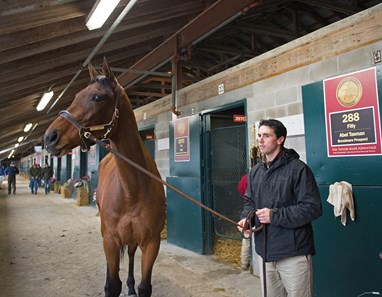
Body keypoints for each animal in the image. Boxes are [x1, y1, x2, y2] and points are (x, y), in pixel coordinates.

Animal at [43, 57, 166, 296]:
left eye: (97, 97)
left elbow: (144, 286)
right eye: (76, 96)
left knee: (130, 255)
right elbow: (112, 285)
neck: (132, 190)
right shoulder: (110, 240)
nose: (50, 137)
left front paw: (134, 286)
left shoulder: (152, 243)